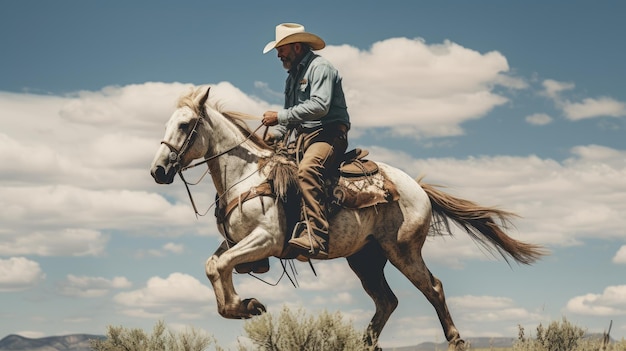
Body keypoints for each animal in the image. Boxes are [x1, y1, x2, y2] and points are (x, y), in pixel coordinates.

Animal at [149, 86, 544, 351]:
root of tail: (417, 188)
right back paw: (364, 343)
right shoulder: (237, 243)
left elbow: (219, 266)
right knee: (387, 301)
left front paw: (245, 306)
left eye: (185, 125)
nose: (158, 170)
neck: (245, 175)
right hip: (365, 259)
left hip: (403, 251)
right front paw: (243, 306)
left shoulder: (267, 239)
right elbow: (214, 264)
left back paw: (456, 340)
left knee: (433, 288)